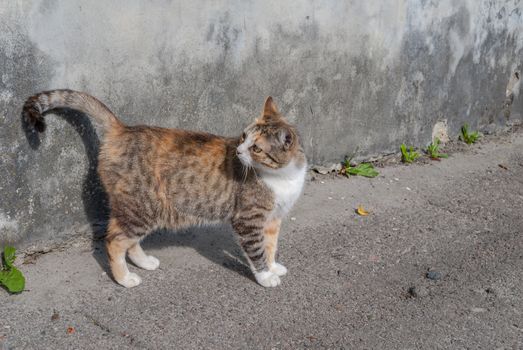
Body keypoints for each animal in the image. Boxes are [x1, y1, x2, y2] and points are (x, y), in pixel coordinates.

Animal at [21, 89, 308, 288]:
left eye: (256, 148)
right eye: (244, 137)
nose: (238, 151)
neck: (282, 176)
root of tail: (122, 129)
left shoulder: (273, 220)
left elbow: (270, 246)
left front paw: (273, 267)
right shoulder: (248, 220)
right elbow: (257, 250)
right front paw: (265, 277)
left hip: (139, 207)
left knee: (127, 238)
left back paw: (144, 262)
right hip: (143, 206)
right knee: (114, 240)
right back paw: (125, 279)